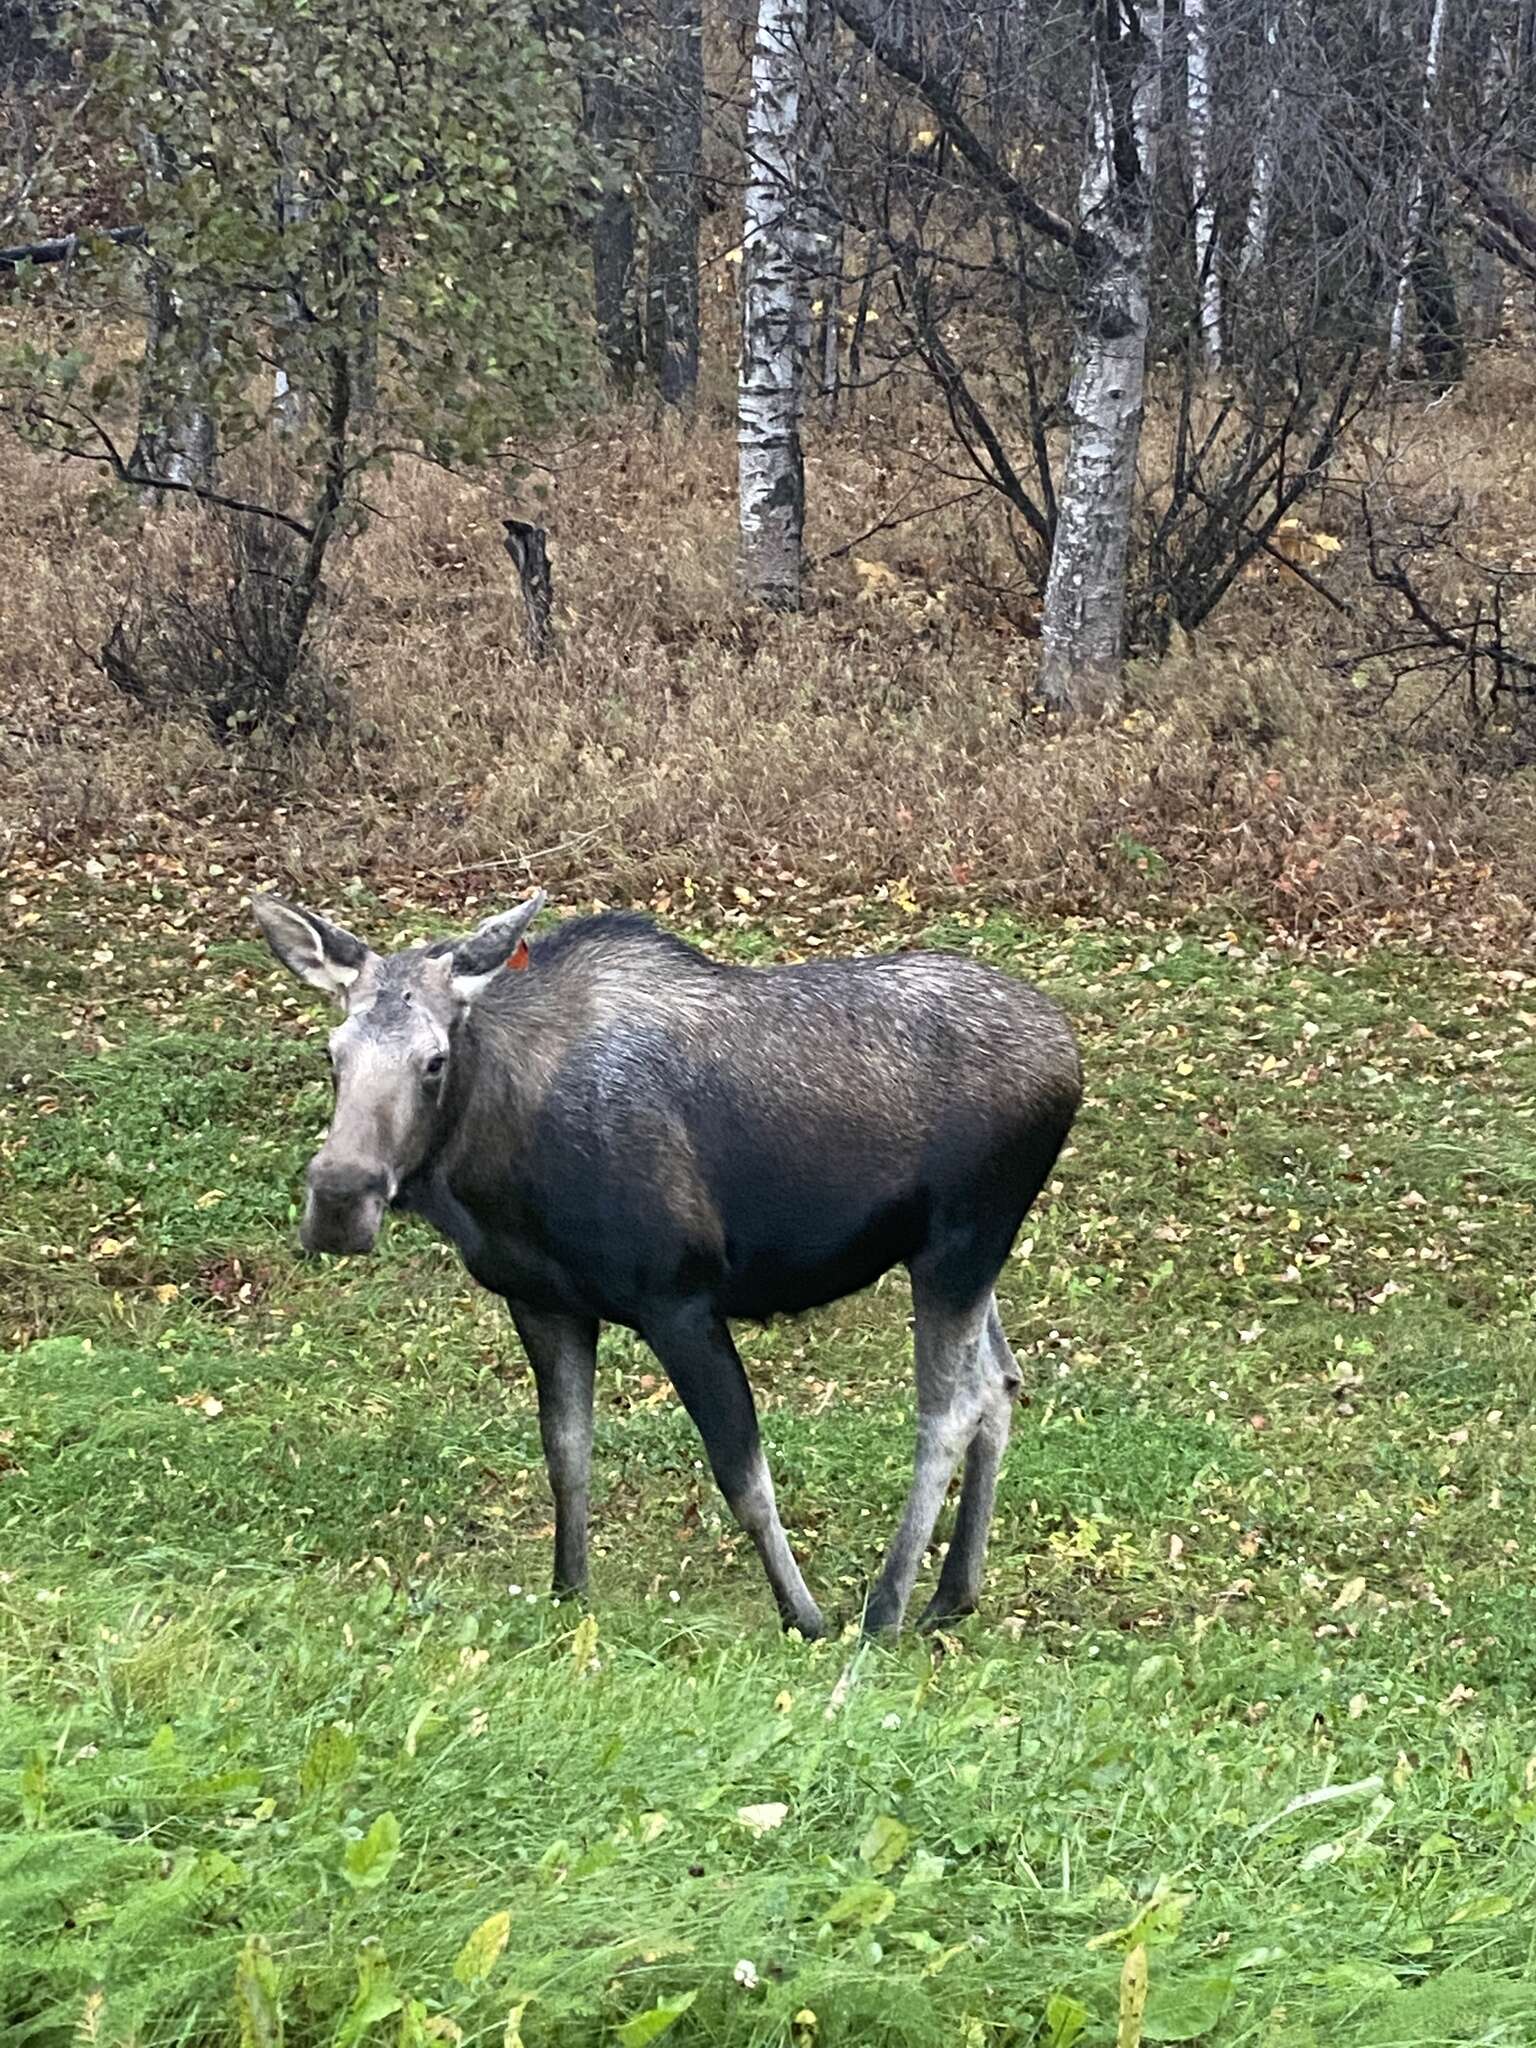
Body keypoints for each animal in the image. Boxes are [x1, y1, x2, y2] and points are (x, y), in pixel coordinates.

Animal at [256, 892, 1081, 1630]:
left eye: (433, 1060)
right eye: (333, 1054)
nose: (340, 1197)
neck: (491, 1166)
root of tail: (1070, 1059)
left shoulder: (678, 1300)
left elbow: (743, 1476)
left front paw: (805, 1617)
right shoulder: (542, 1301)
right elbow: (567, 1453)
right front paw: (569, 1591)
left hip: (961, 1244)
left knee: (950, 1411)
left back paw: (885, 1609)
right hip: (959, 1258)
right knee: (1001, 1381)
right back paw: (952, 1594)